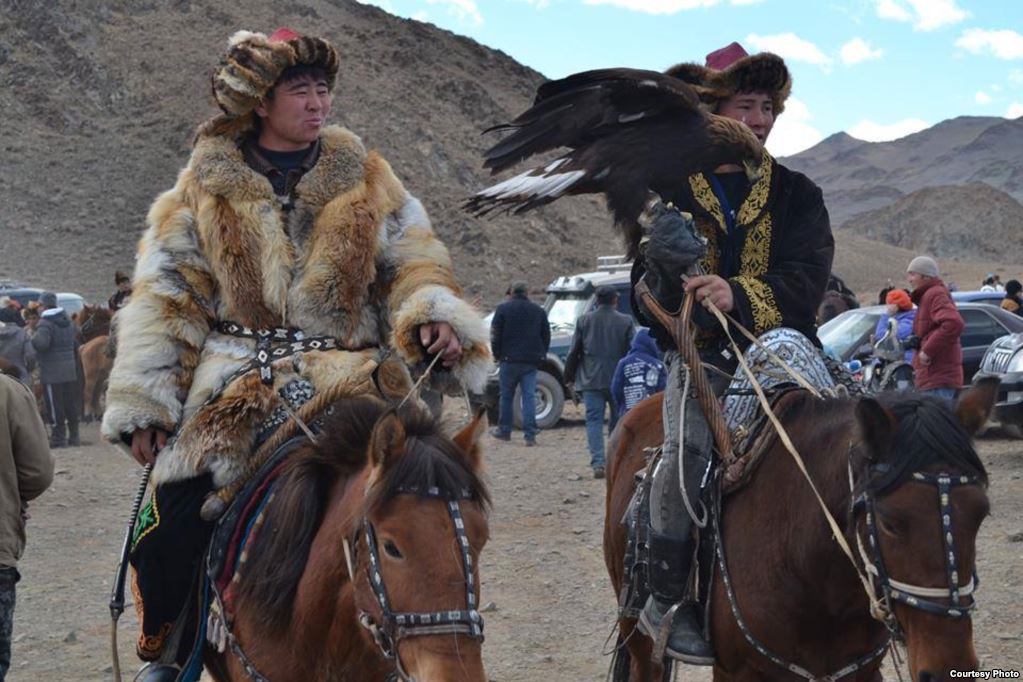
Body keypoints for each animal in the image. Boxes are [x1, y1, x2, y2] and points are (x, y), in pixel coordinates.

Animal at [601, 382, 994, 678]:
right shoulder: (736, 672)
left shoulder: (858, 672)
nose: (949, 667)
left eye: (981, 514)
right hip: (636, 630)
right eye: (889, 521)